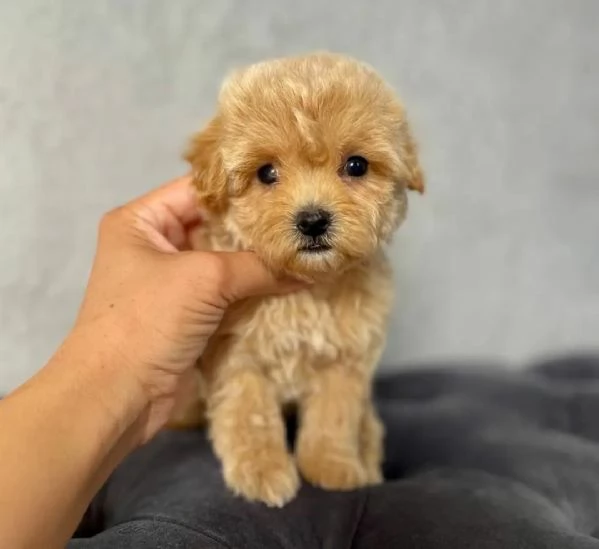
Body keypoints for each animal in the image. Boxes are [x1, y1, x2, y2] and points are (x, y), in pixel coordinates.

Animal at [177, 51, 422, 506]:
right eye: (266, 173)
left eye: (356, 165)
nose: (312, 220)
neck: (308, 287)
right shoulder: (236, 354)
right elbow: (249, 412)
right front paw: (262, 472)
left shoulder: (346, 358)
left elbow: (333, 415)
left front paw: (333, 468)